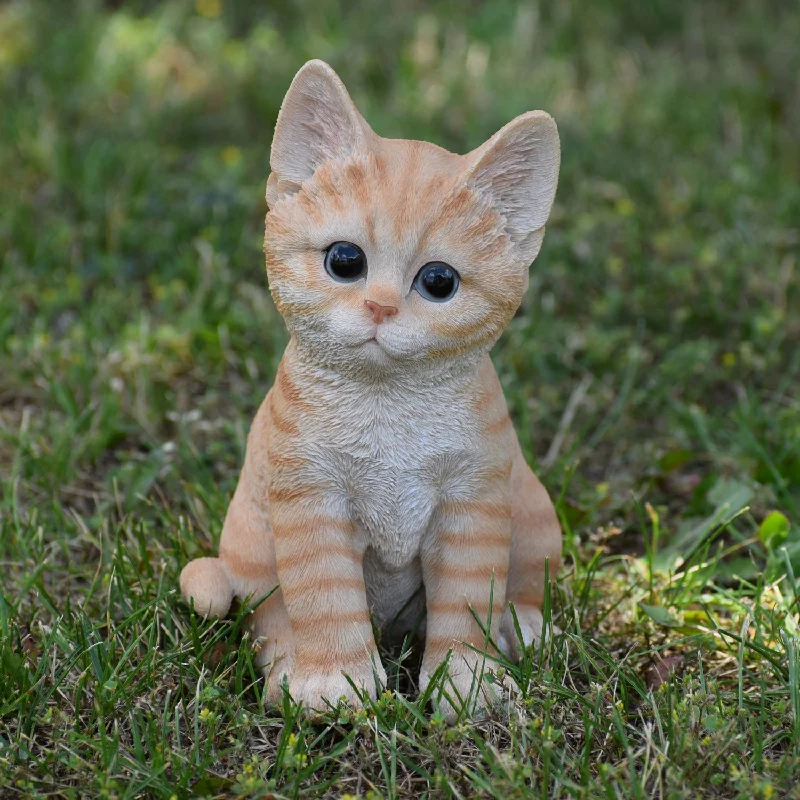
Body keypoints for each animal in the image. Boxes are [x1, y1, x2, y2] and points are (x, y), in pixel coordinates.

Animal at [180, 59, 564, 716]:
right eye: (344, 260)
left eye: (439, 281)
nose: (380, 308)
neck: (389, 411)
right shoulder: (312, 504)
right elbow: (325, 604)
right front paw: (335, 686)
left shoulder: (471, 507)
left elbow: (469, 606)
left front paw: (469, 684)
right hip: (250, 551)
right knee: (268, 620)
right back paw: (286, 672)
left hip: (537, 519)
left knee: (521, 590)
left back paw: (524, 628)